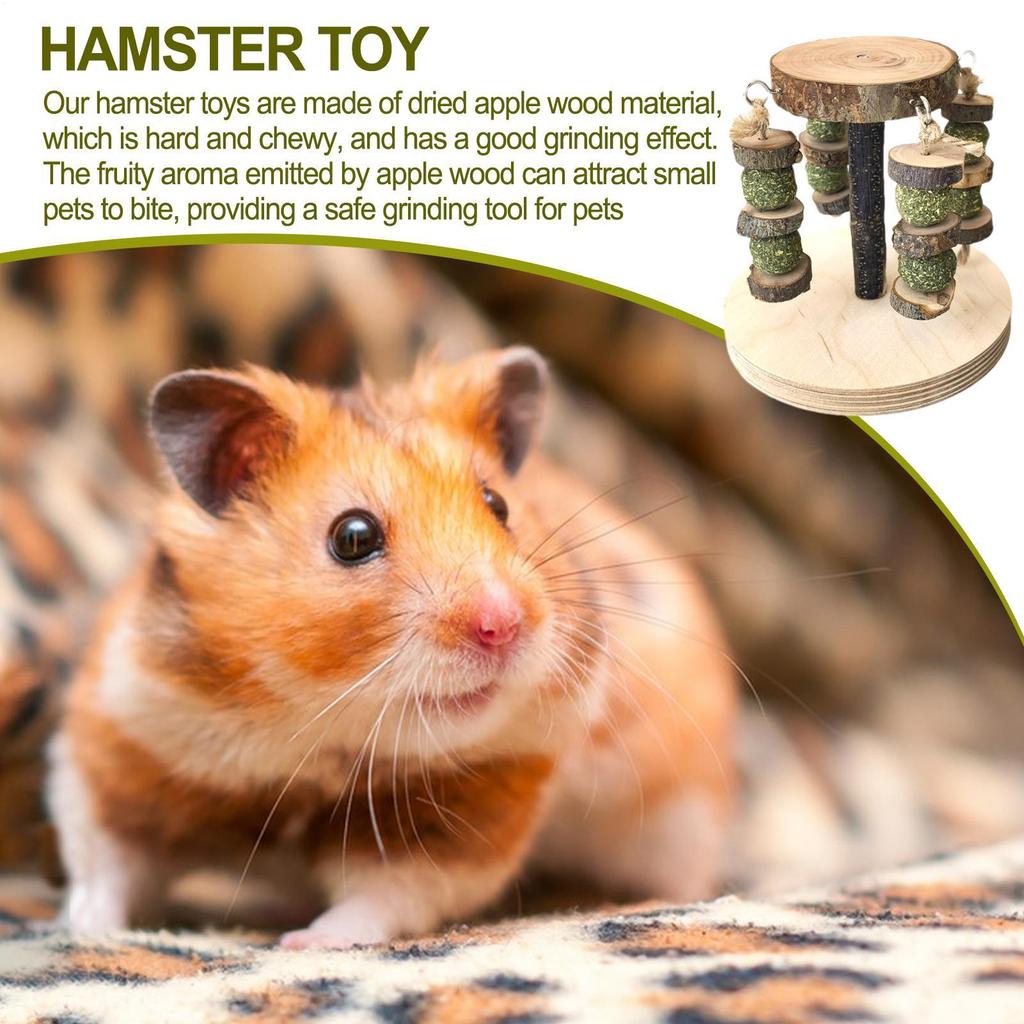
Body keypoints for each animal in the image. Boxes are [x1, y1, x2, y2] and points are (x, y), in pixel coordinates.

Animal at [48, 347, 736, 948]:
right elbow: (105, 859)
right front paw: (83, 930)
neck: (316, 732)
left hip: (681, 816)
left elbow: (382, 895)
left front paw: (305, 944)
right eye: (352, 536)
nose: (504, 624)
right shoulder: (114, 747)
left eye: (499, 506)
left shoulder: (471, 810)